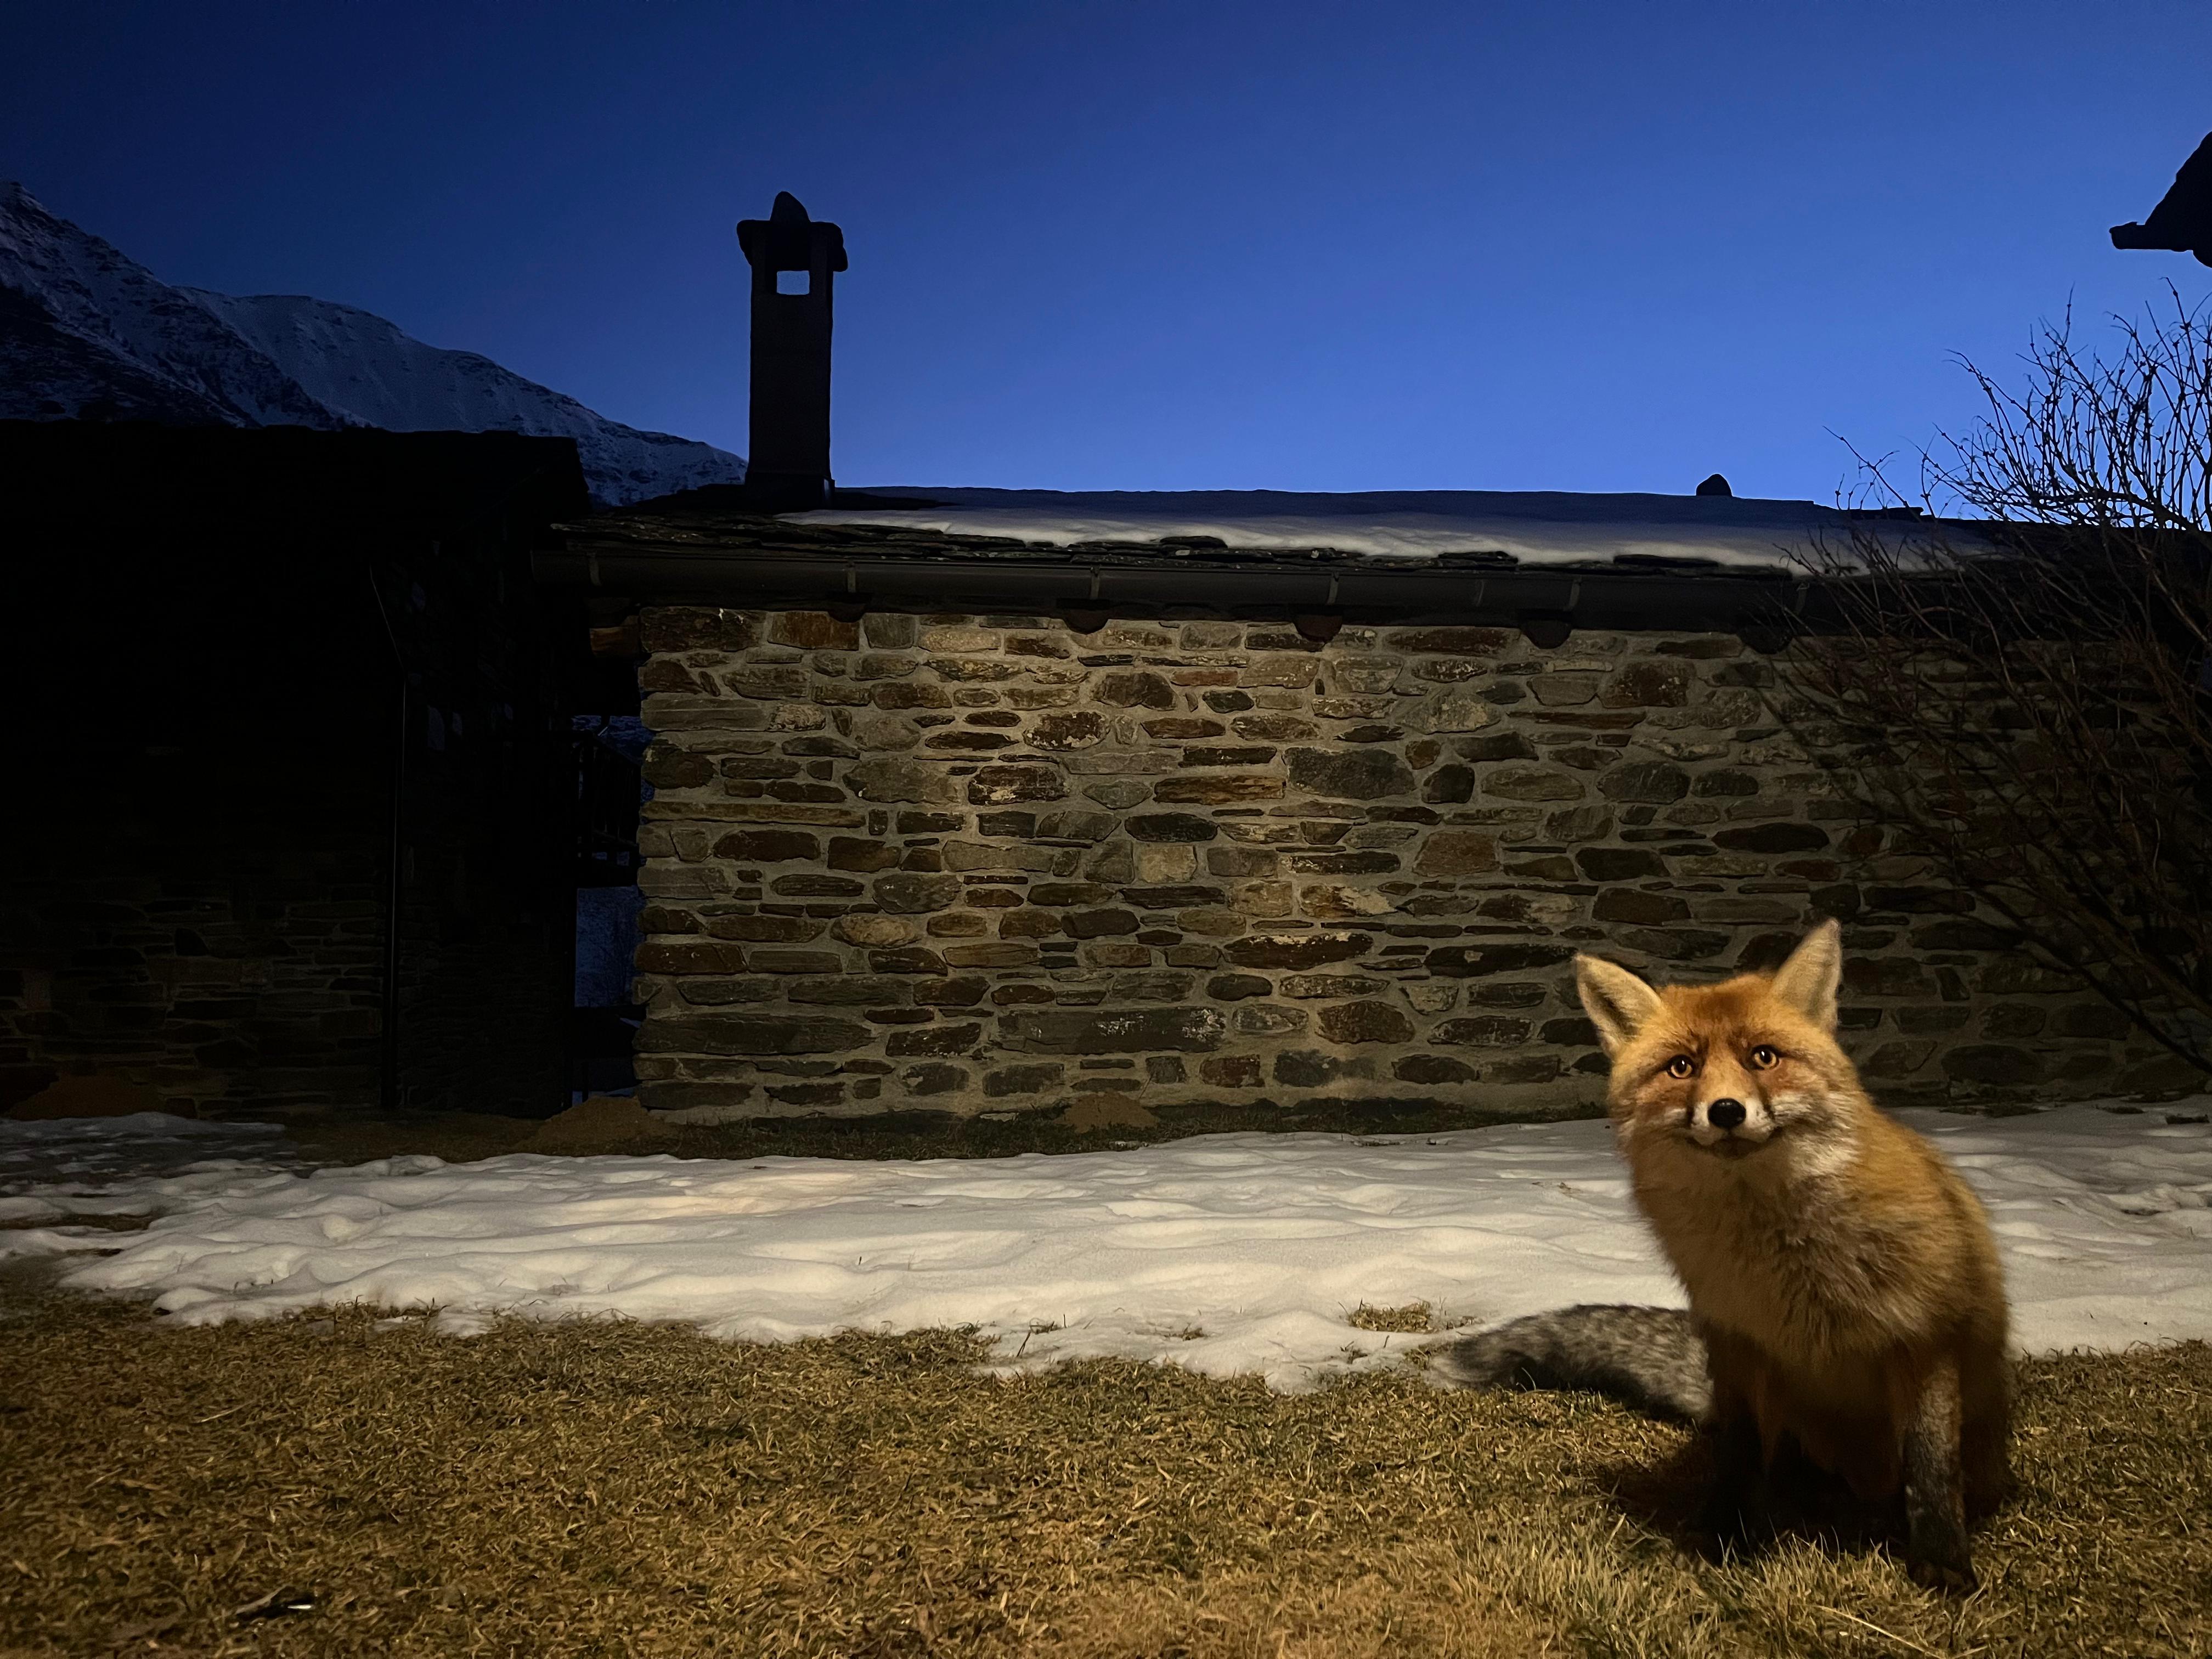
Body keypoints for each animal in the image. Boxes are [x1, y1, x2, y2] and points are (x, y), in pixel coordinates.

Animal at [1434, 920, 2012, 1591]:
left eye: (1763, 1056)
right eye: (1681, 1068)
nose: (1727, 1111)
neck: (1787, 1268)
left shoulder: (1924, 1339)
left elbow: (1931, 1468)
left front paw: (1943, 1561)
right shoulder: (1739, 1345)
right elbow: (1738, 1456)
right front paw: (1722, 1535)